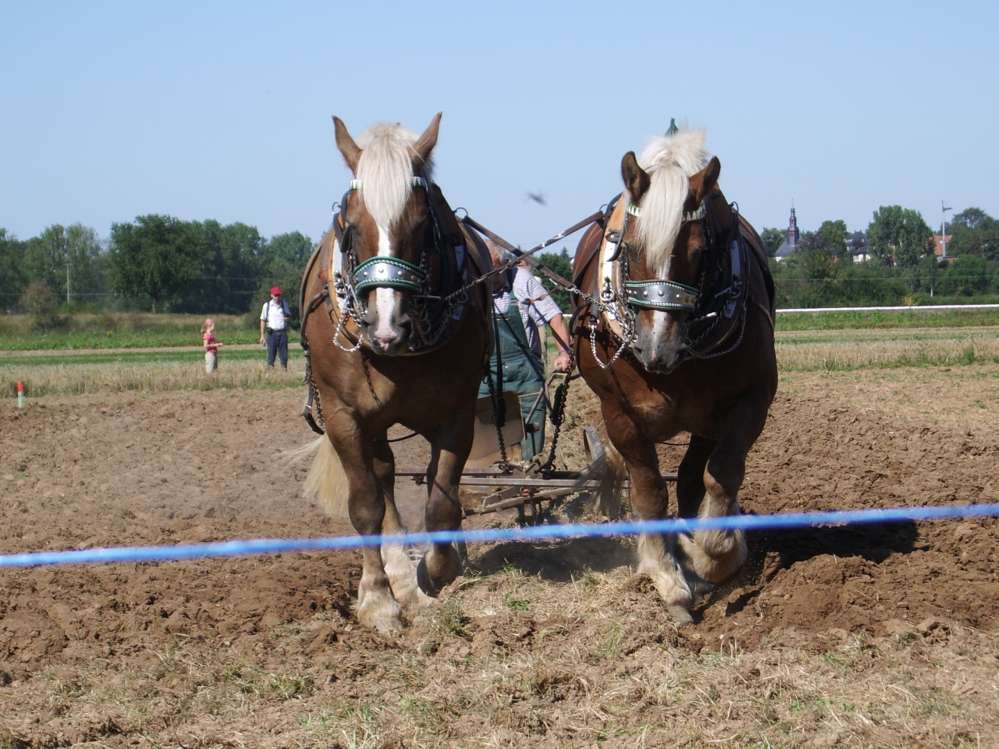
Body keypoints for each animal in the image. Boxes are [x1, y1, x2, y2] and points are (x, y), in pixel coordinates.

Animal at [300, 114, 492, 636]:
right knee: (381, 481)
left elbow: (442, 503)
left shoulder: (457, 413)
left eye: (423, 222)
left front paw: (435, 571)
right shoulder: (344, 417)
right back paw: (395, 578)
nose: (387, 328)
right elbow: (365, 505)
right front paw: (377, 599)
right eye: (350, 224)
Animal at [576, 130, 776, 624]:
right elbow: (649, 492)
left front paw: (714, 554)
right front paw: (669, 580)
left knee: (691, 476)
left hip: (704, 420)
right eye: (629, 249)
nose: (656, 349)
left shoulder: (750, 400)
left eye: (701, 253)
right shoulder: (620, 415)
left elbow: (720, 475)